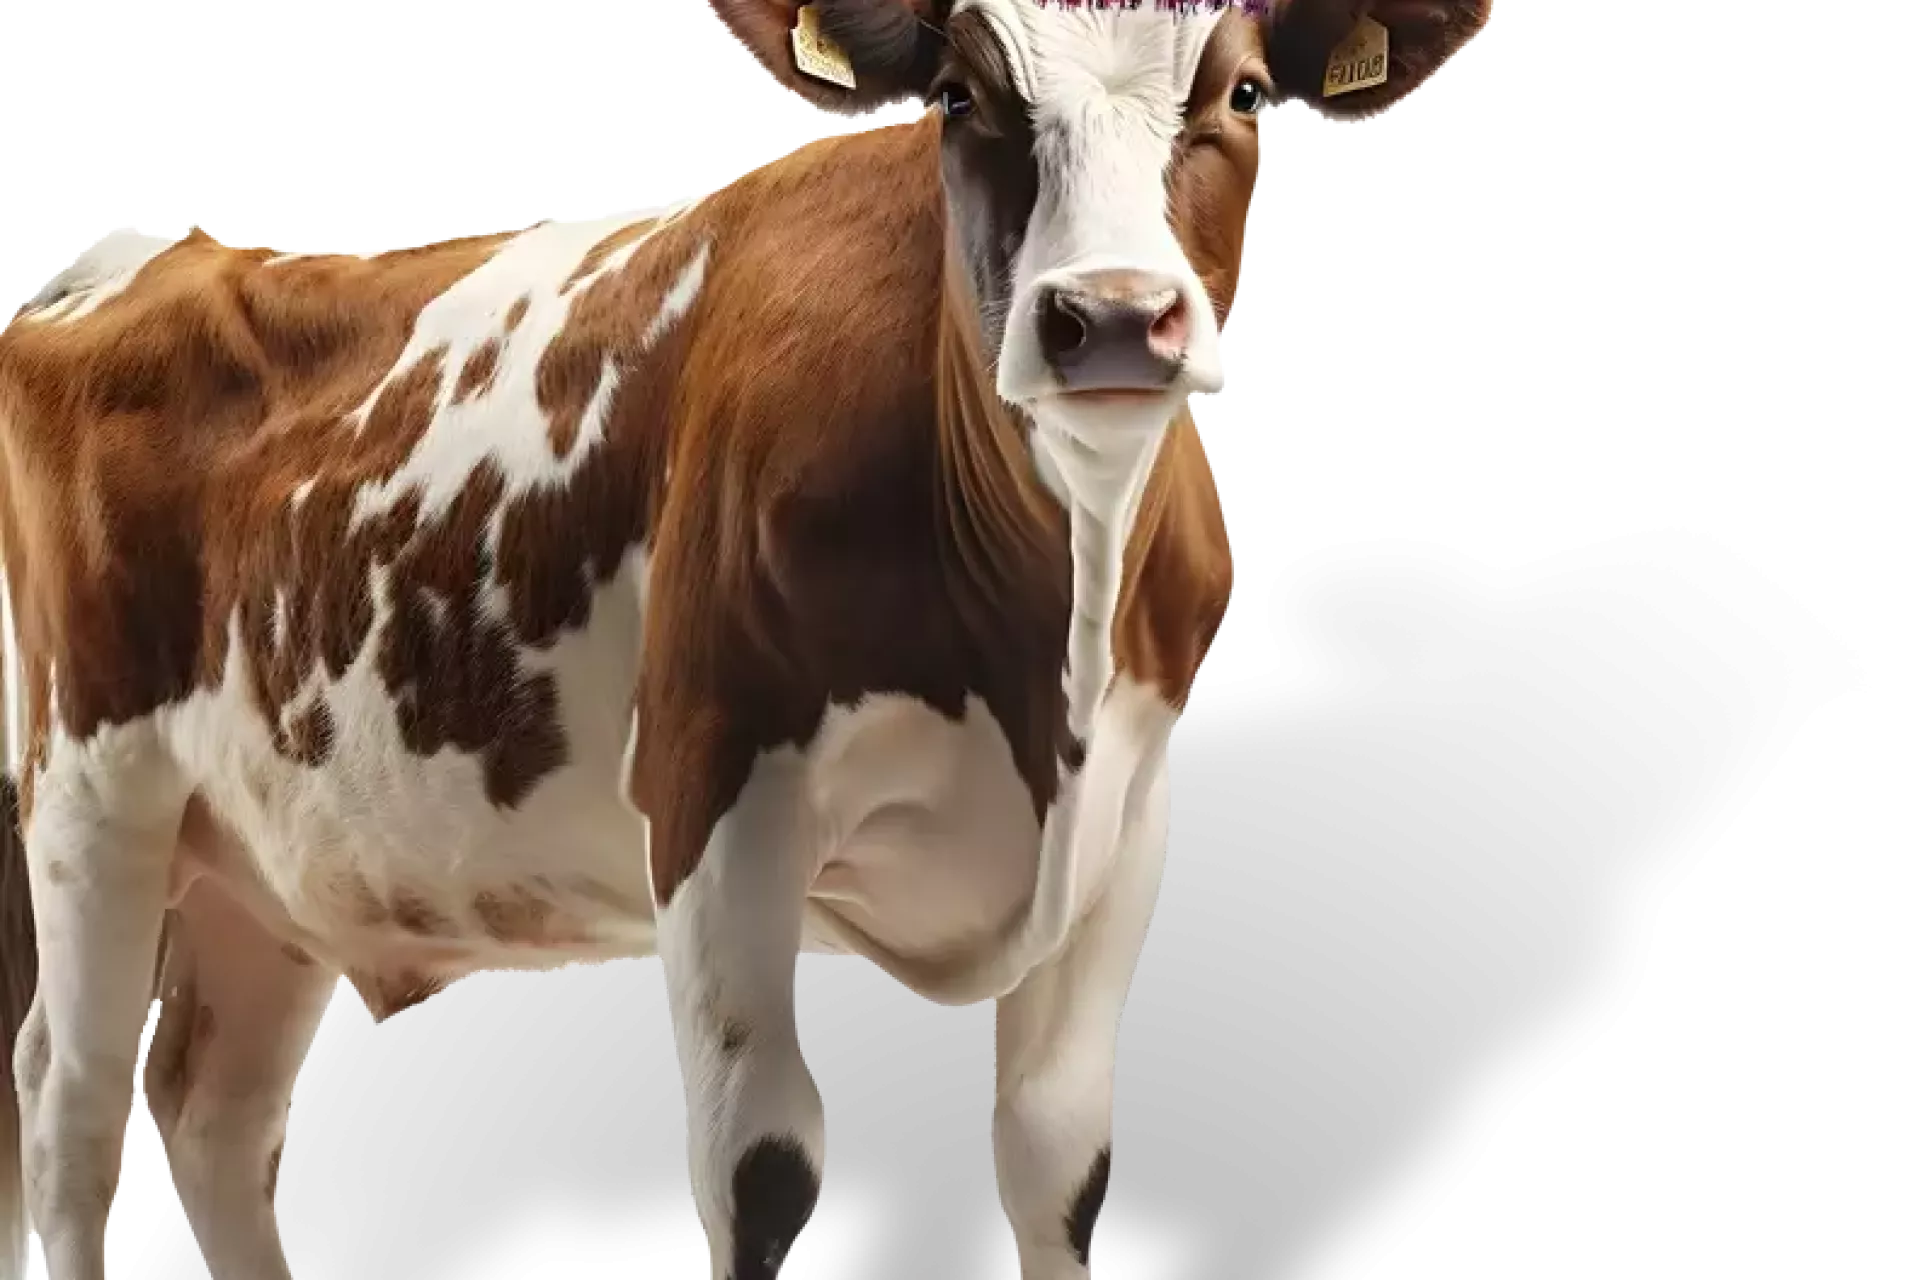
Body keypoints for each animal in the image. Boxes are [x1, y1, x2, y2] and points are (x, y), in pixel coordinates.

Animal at [0, 2, 1493, 1276]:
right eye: (964, 92)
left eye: (1240, 91)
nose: (1114, 316)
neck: (1039, 652)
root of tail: (149, 253)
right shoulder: (717, 786)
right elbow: (763, 1165)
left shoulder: (1129, 822)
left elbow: (1057, 1164)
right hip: (92, 795)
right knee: (72, 1107)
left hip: (282, 855)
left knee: (214, 1109)